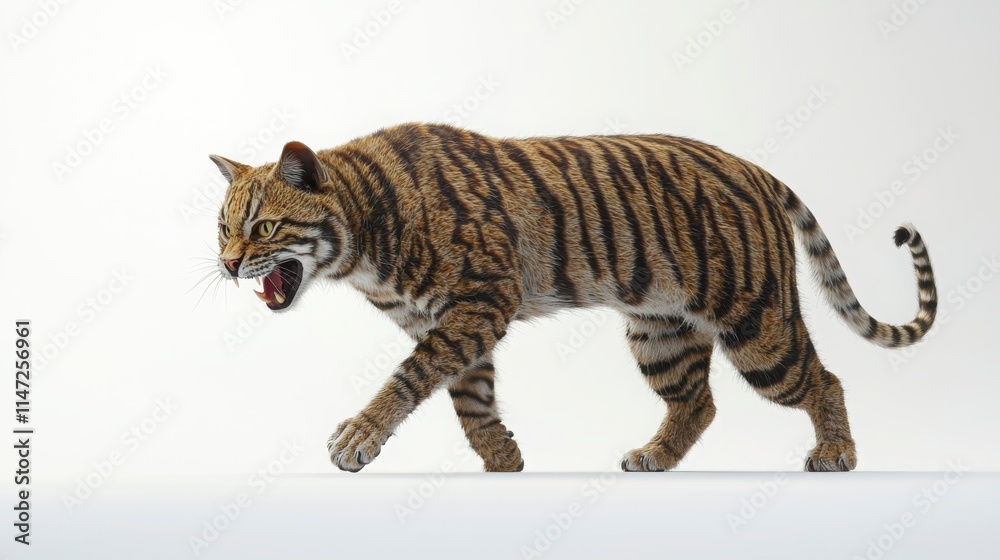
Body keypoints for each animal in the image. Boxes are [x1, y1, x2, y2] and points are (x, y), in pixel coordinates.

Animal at [210, 123, 937, 473]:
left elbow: (406, 381)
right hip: (660, 333)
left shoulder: (478, 304)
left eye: (263, 228)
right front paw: (502, 460)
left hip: (758, 327)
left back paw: (836, 455)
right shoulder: (452, 323)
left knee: (825, 380)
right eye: (222, 227)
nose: (226, 265)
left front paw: (357, 438)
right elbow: (469, 400)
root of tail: (754, 167)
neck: (360, 245)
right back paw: (654, 458)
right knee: (698, 404)